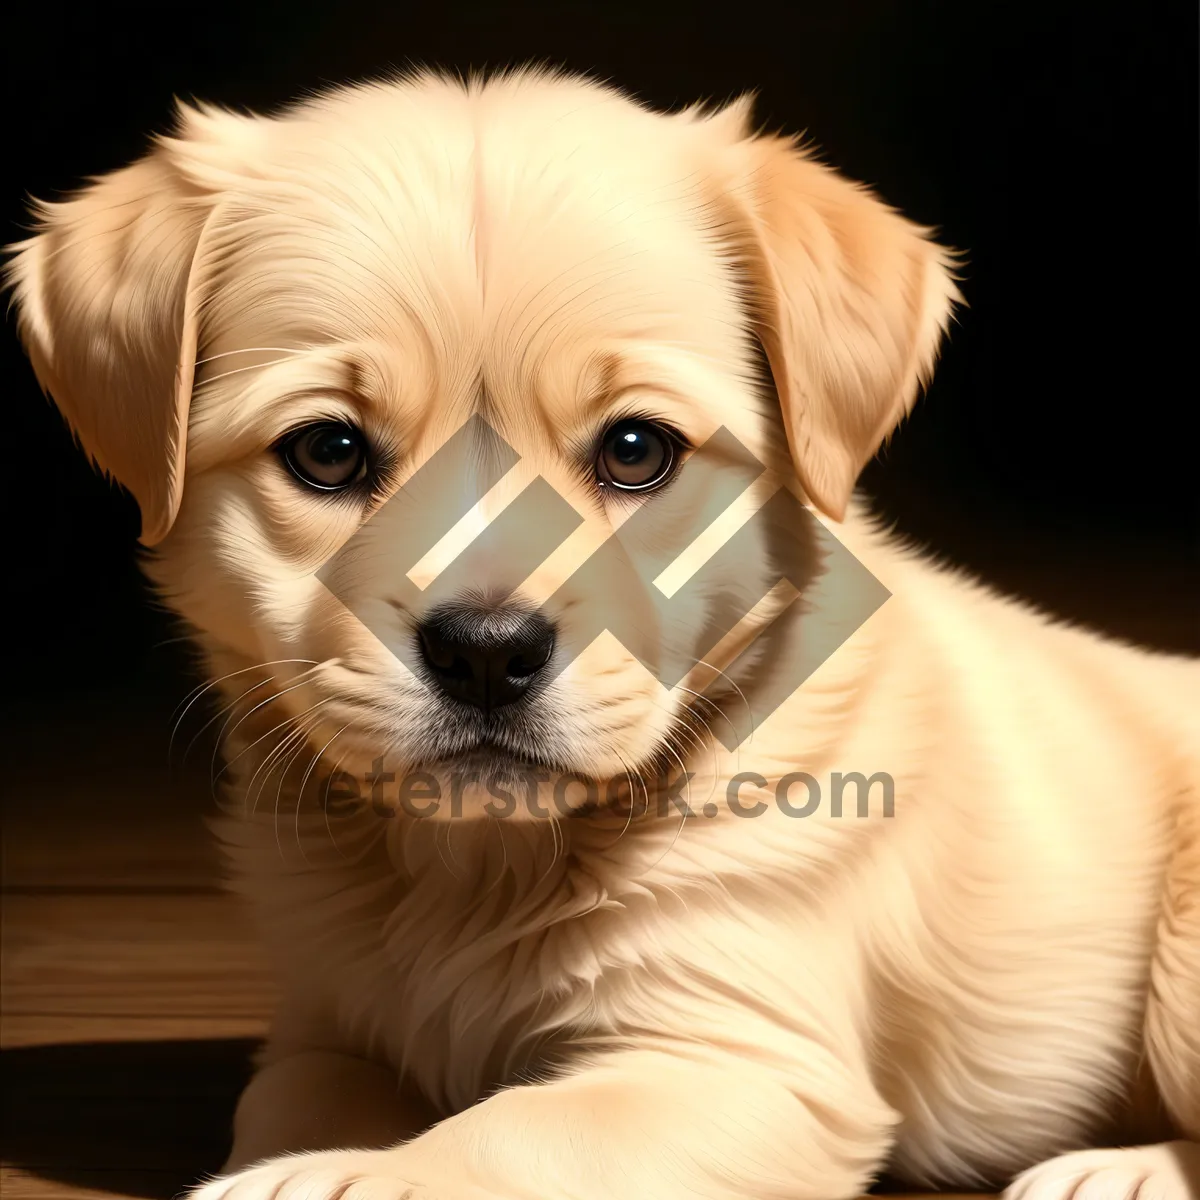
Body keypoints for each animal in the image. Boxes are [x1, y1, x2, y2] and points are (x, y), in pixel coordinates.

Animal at [9, 68, 1200, 1200]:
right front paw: (309, 1156)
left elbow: (517, 1131)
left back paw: (1120, 1169)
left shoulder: (740, 1062)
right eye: (328, 452)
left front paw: (355, 1180)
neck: (472, 868)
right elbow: (298, 1102)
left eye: (636, 450)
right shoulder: (327, 1028)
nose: (487, 653)